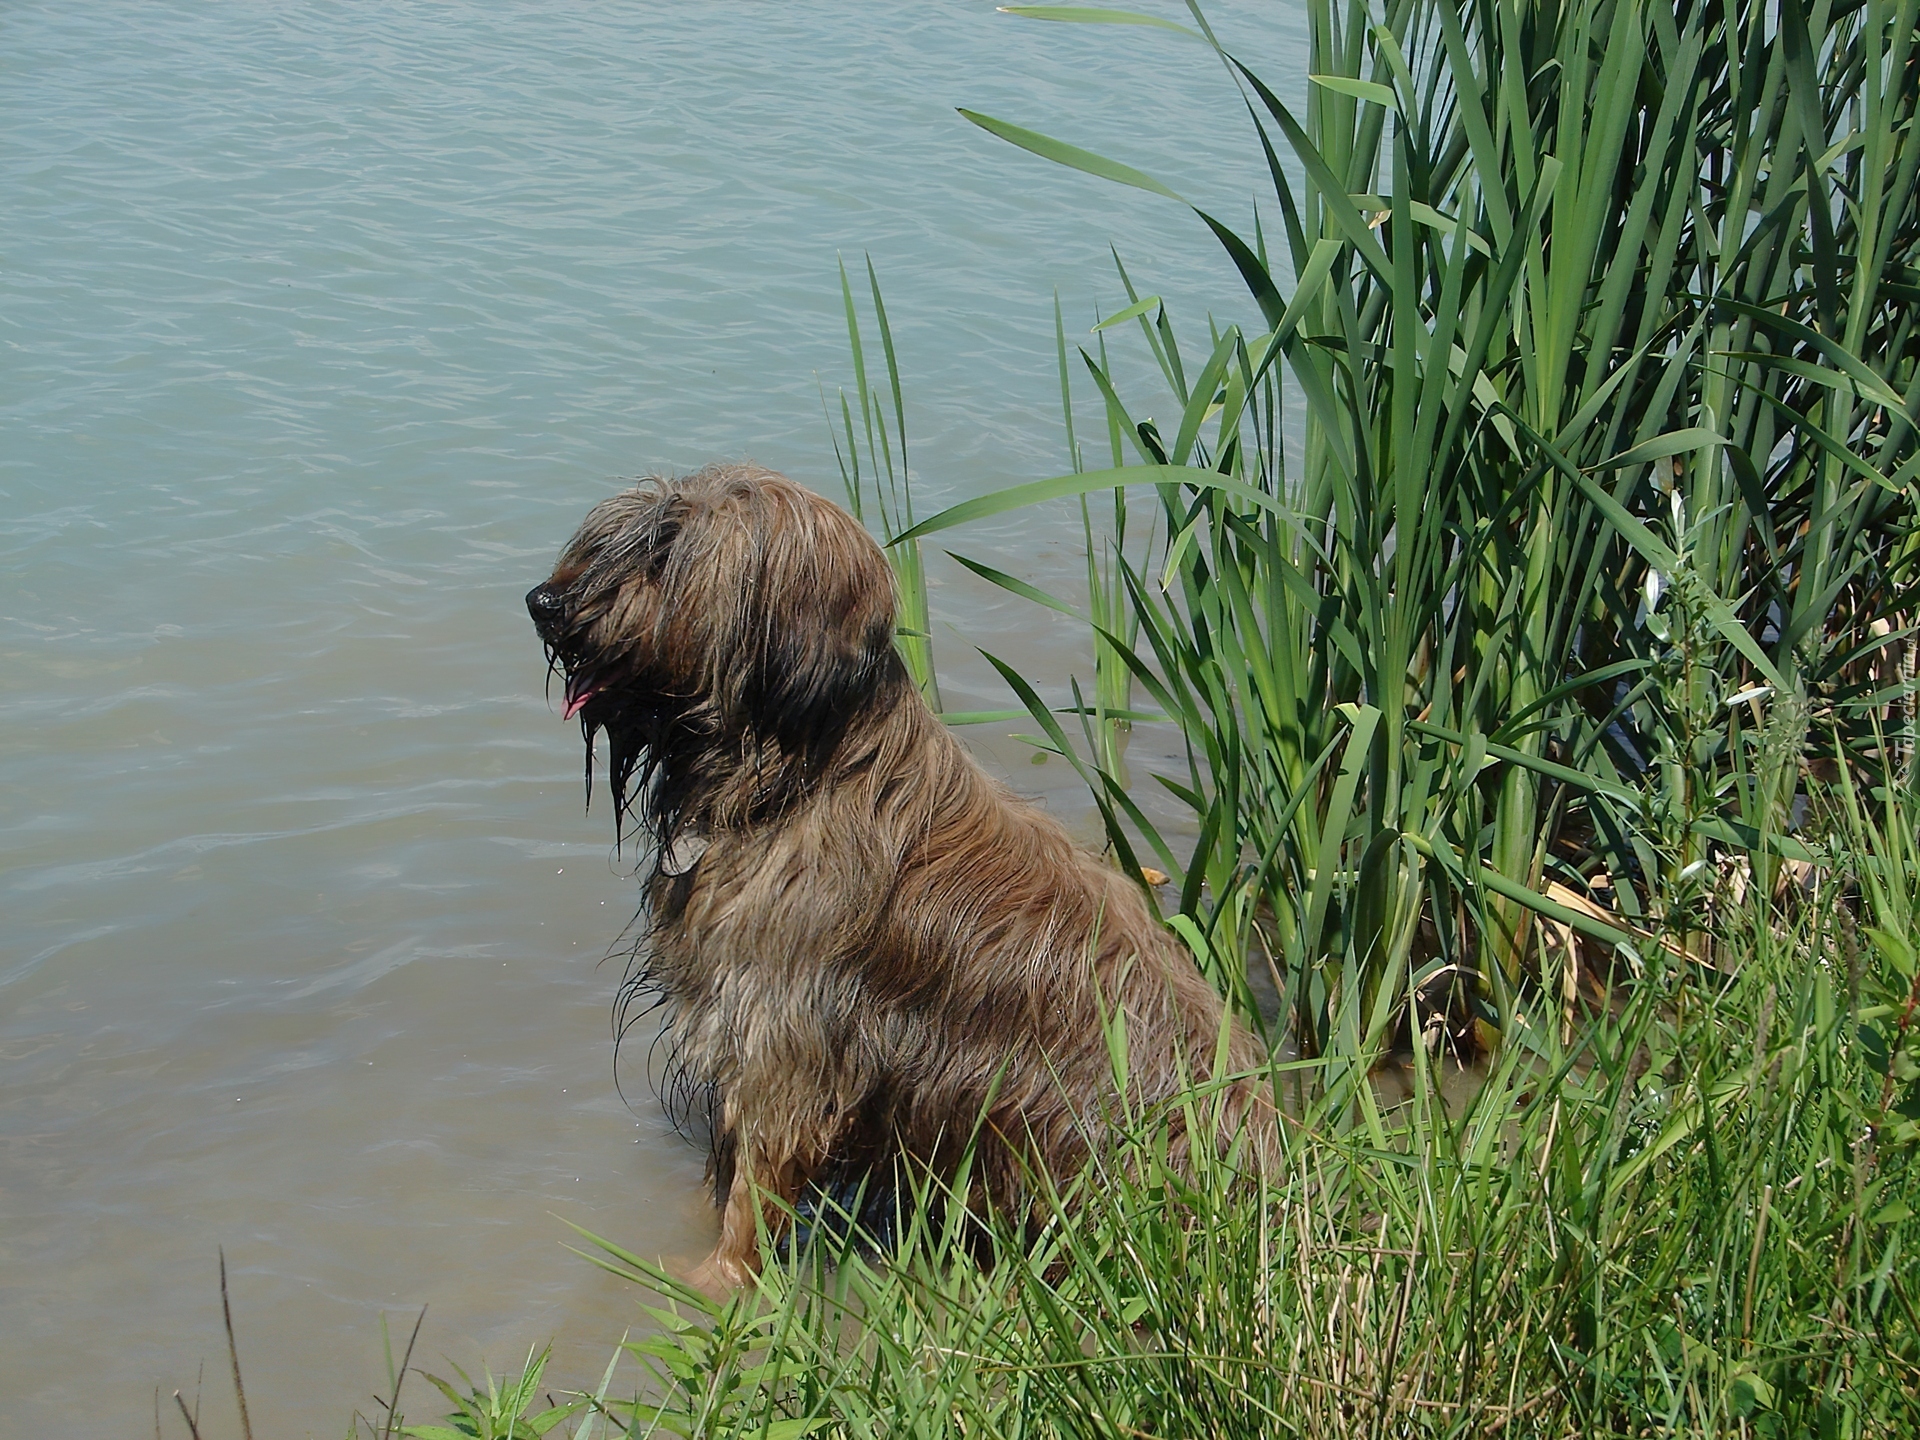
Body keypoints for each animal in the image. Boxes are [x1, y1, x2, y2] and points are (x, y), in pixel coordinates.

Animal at [533, 468, 1267, 1290]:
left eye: (665, 553)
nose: (544, 603)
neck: (786, 779)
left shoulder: (788, 1041)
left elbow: (755, 1184)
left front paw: (715, 1283)